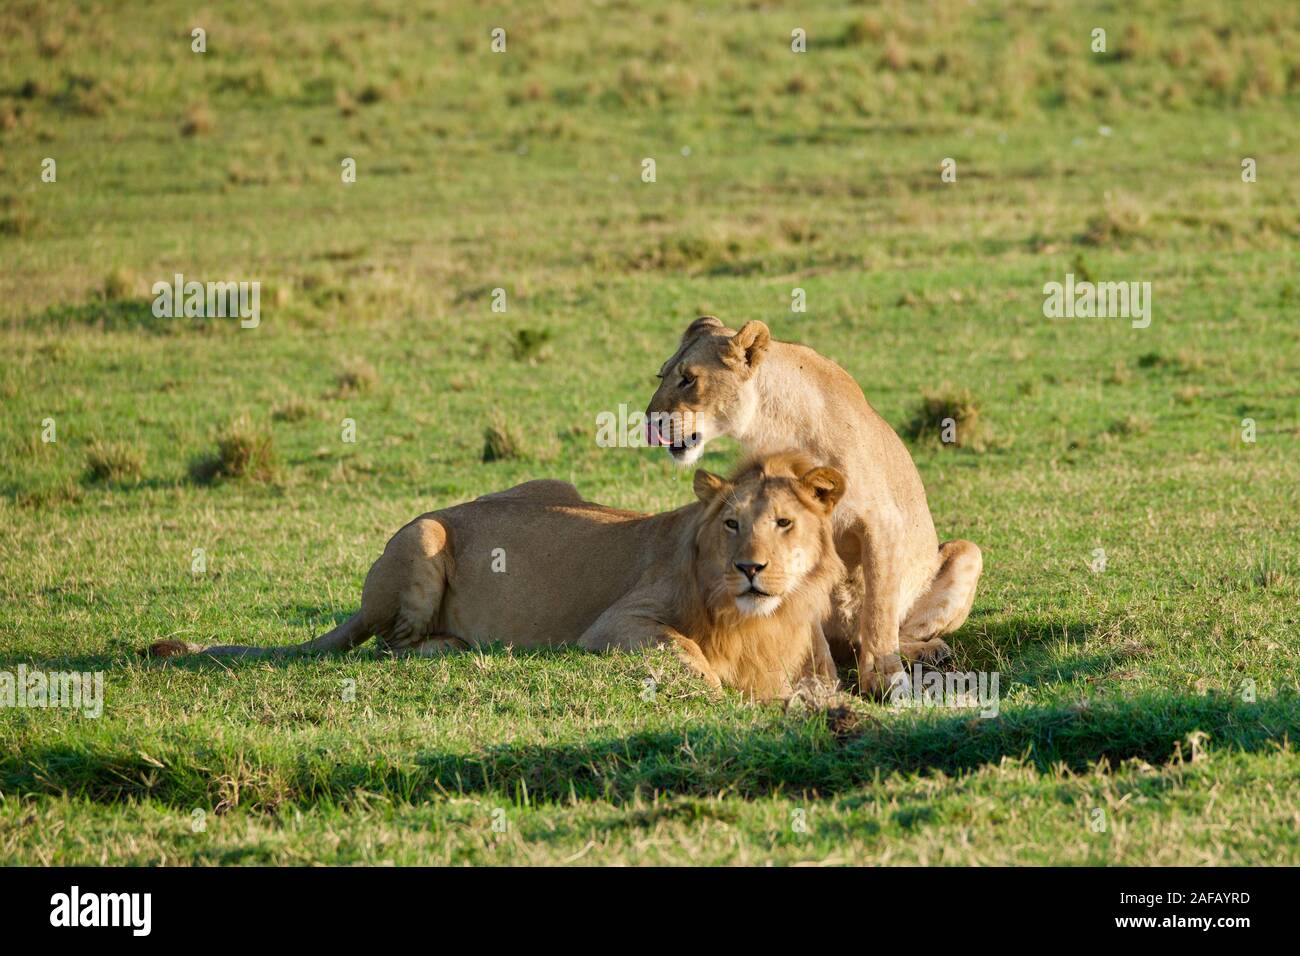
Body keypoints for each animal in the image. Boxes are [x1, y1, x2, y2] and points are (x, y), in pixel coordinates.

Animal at [147, 452, 847, 697]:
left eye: (784, 523)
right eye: (730, 523)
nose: (750, 568)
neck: (754, 617)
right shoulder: (614, 625)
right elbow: (688, 652)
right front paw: (718, 690)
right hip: (425, 534)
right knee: (391, 644)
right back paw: (453, 648)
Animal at [644, 317, 977, 697]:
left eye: (689, 378)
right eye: (662, 374)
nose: (648, 420)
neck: (773, 425)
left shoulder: (882, 523)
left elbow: (879, 612)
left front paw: (886, 680)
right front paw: (817, 683)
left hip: (970, 552)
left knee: (891, 630)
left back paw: (930, 651)